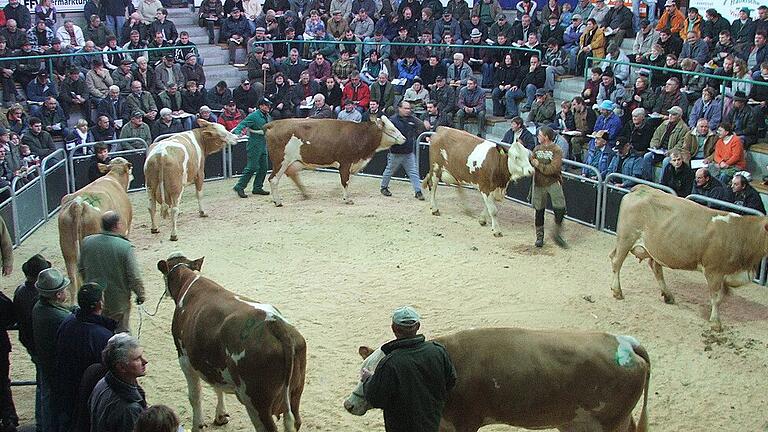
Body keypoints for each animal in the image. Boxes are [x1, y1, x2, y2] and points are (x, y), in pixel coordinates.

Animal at [158, 253, 308, 432]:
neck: (188, 282)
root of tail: (275, 323)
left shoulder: (184, 359)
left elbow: (195, 396)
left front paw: (198, 425)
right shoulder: (213, 363)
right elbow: (217, 387)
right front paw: (221, 415)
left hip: (256, 402)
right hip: (295, 392)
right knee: (296, 420)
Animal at [264, 117, 404, 207]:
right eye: (392, 129)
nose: (404, 138)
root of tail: (275, 123)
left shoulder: (353, 165)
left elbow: (348, 181)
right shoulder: (345, 162)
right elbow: (345, 181)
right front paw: (347, 199)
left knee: (292, 175)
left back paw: (304, 193)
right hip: (281, 161)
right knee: (273, 179)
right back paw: (278, 202)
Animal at [344, 328, 652, 432]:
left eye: (375, 376)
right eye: (361, 370)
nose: (349, 404)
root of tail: (624, 341)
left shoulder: (466, 422)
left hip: (609, 422)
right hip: (579, 422)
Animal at [612, 185, 768, 330]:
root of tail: (642, 188)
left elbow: (723, 293)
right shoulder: (713, 270)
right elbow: (716, 297)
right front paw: (715, 322)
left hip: (655, 248)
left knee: (655, 267)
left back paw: (668, 295)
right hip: (626, 238)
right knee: (616, 262)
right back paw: (617, 292)